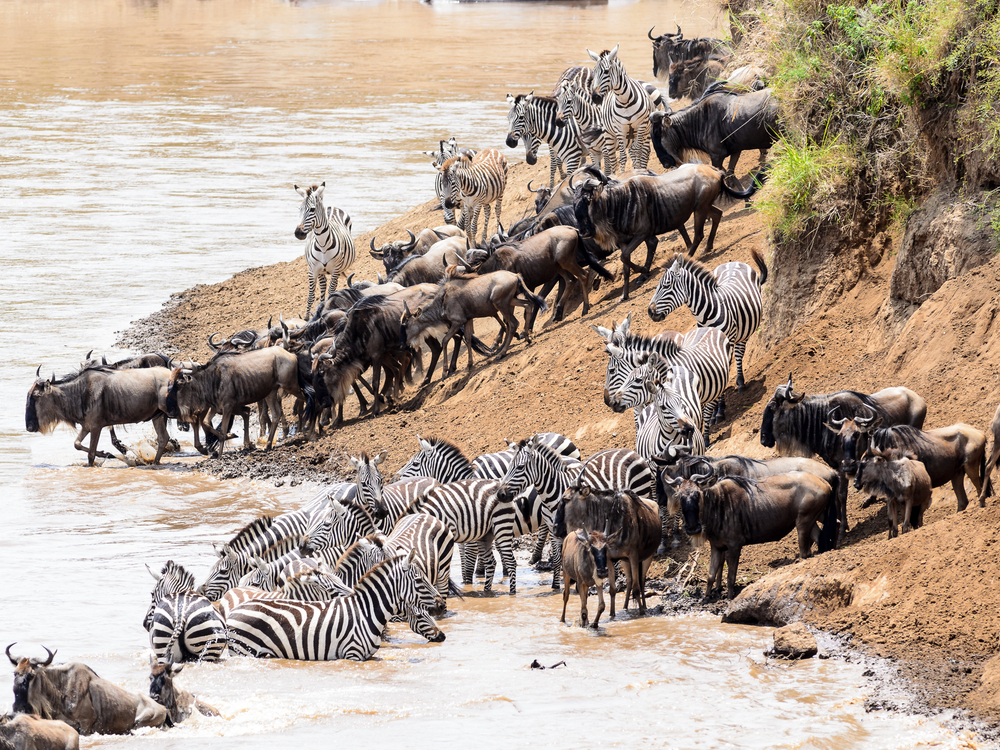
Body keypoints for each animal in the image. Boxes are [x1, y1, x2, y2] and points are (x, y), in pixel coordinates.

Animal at [226, 551, 443, 661]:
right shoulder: (352, 655)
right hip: (245, 651)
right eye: (419, 580)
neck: (367, 612)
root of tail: (234, 611)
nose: (441, 604)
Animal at [294, 182, 356, 318]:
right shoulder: (312, 270)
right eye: (299, 209)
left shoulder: (336, 269)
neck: (322, 244)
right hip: (321, 271)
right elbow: (311, 296)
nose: (298, 233)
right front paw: (306, 318)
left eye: (312, 209)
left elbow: (331, 292)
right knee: (323, 287)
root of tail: (332, 207)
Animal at [587, 44, 656, 173]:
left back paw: (642, 168)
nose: (595, 97)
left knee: (643, 152)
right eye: (593, 72)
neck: (624, 101)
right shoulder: (619, 129)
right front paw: (622, 174)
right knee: (613, 158)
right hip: (609, 135)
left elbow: (637, 151)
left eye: (606, 71)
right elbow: (623, 157)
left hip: (644, 133)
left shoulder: (641, 125)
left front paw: (637, 171)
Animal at [648, 249, 768, 389]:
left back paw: (740, 381)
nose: (650, 312)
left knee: (739, 353)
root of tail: (734, 262)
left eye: (666, 285)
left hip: (743, 332)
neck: (706, 313)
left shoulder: (726, 341)